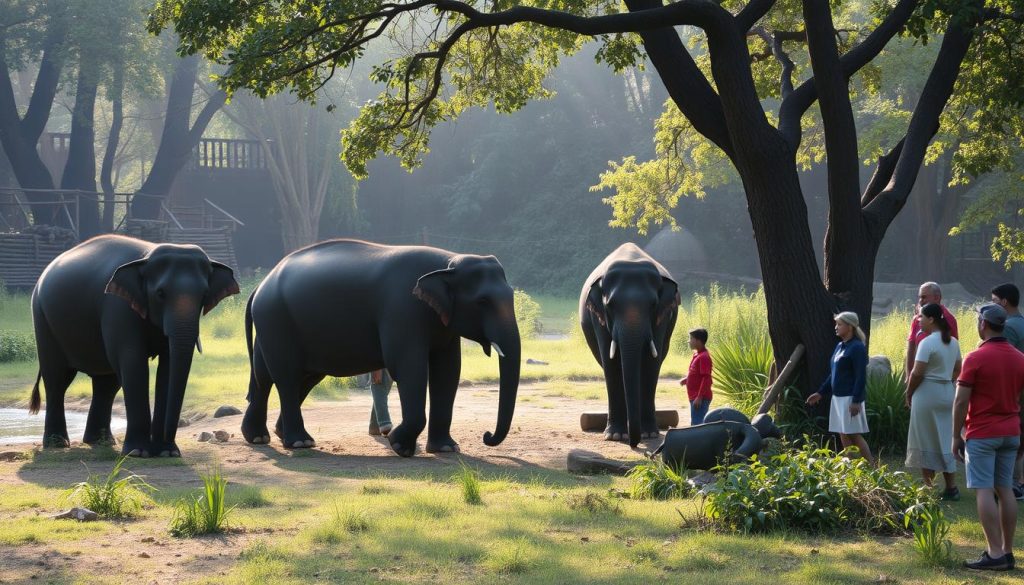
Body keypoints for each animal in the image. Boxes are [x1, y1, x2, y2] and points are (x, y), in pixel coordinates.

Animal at [29, 234, 240, 457]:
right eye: (160, 293)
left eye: (204, 295)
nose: (167, 442)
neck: (147, 256)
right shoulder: (117, 306)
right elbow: (133, 361)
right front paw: (138, 453)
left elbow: (167, 367)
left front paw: (166, 453)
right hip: (42, 319)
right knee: (57, 378)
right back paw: (57, 444)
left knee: (106, 383)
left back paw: (101, 441)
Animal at [240, 239, 521, 457]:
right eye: (482, 302)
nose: (487, 435)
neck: (447, 261)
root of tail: (259, 287)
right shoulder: (401, 310)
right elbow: (409, 368)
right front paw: (400, 446)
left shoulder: (443, 324)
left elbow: (448, 371)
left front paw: (447, 449)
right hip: (276, 320)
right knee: (285, 376)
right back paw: (299, 442)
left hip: (275, 325)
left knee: (279, 377)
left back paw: (263, 437)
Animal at [580, 243, 679, 447]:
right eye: (610, 305)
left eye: (653, 304)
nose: (635, 444)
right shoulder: (597, 317)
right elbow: (610, 363)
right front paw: (615, 436)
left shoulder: (663, 315)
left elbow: (651, 362)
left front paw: (649, 434)